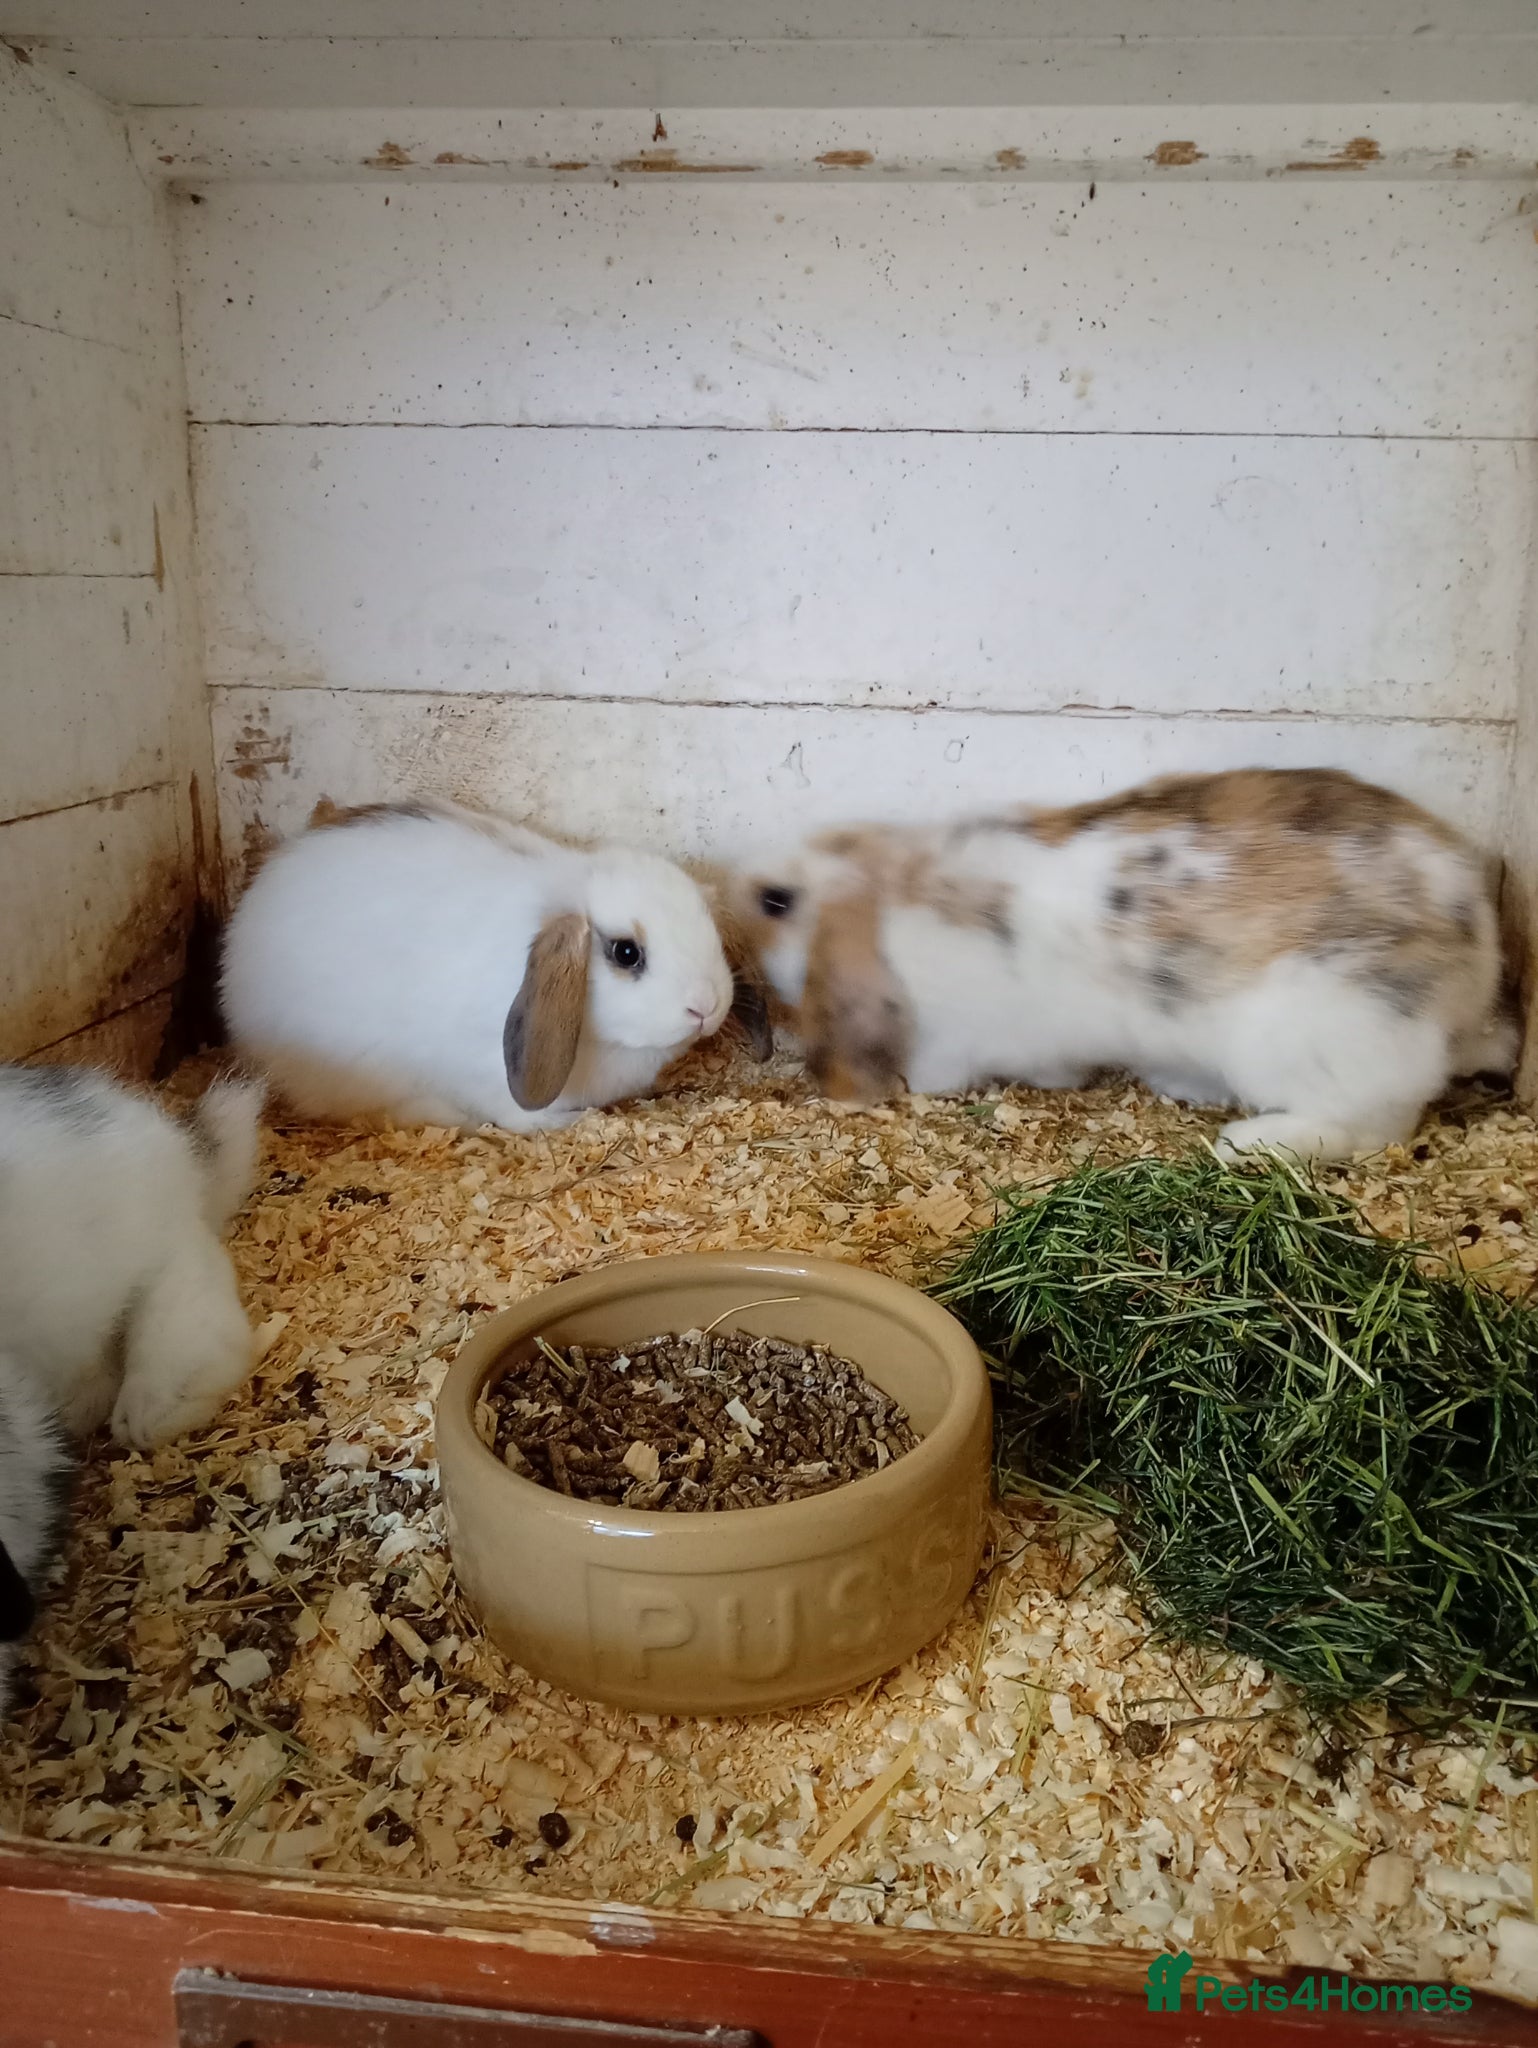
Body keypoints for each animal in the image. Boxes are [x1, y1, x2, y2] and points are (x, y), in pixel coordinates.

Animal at [725, 768, 1517, 1164]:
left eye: (775, 900)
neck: (891, 892)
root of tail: (1474, 956)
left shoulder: (963, 1036)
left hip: (1323, 1043)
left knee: (1375, 1126)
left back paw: (1249, 1145)